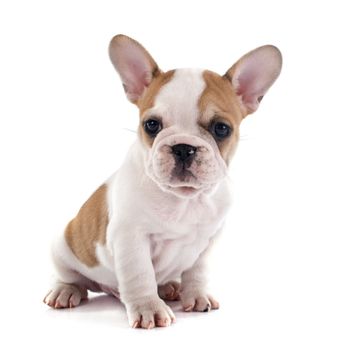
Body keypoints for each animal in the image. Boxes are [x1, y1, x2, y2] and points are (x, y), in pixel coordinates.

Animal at [43, 34, 284, 328]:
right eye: (151, 125)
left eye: (221, 129)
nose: (183, 147)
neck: (185, 199)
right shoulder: (131, 238)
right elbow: (140, 275)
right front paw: (149, 308)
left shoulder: (208, 242)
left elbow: (197, 272)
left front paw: (197, 295)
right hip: (63, 246)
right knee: (71, 276)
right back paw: (66, 291)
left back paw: (169, 287)